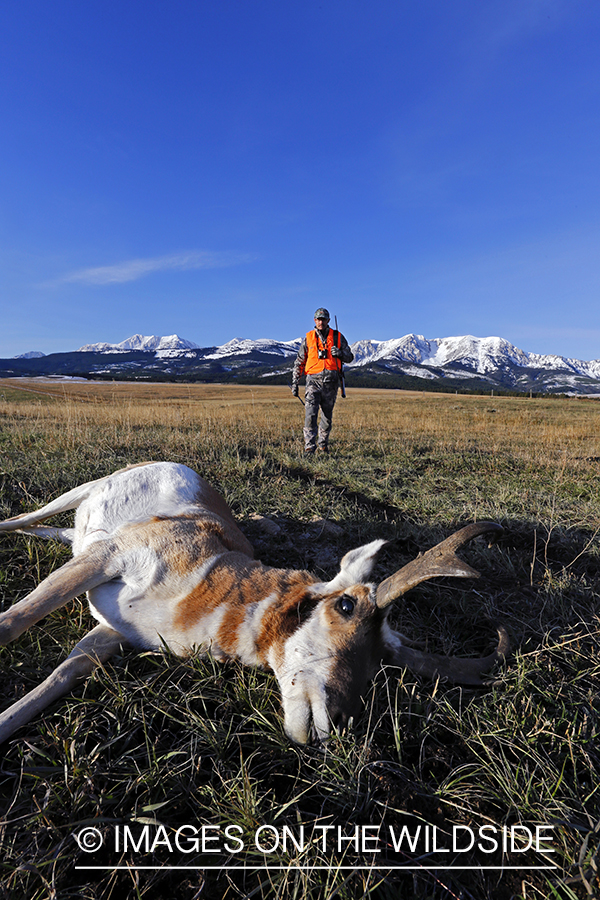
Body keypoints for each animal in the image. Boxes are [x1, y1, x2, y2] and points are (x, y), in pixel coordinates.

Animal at [0, 460, 506, 740]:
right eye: (346, 606)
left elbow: (61, 675)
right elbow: (14, 620)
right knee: (26, 517)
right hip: (80, 498)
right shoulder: (108, 558)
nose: (341, 720)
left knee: (53, 532)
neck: (214, 578)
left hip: (77, 536)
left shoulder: (110, 634)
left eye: (383, 660)